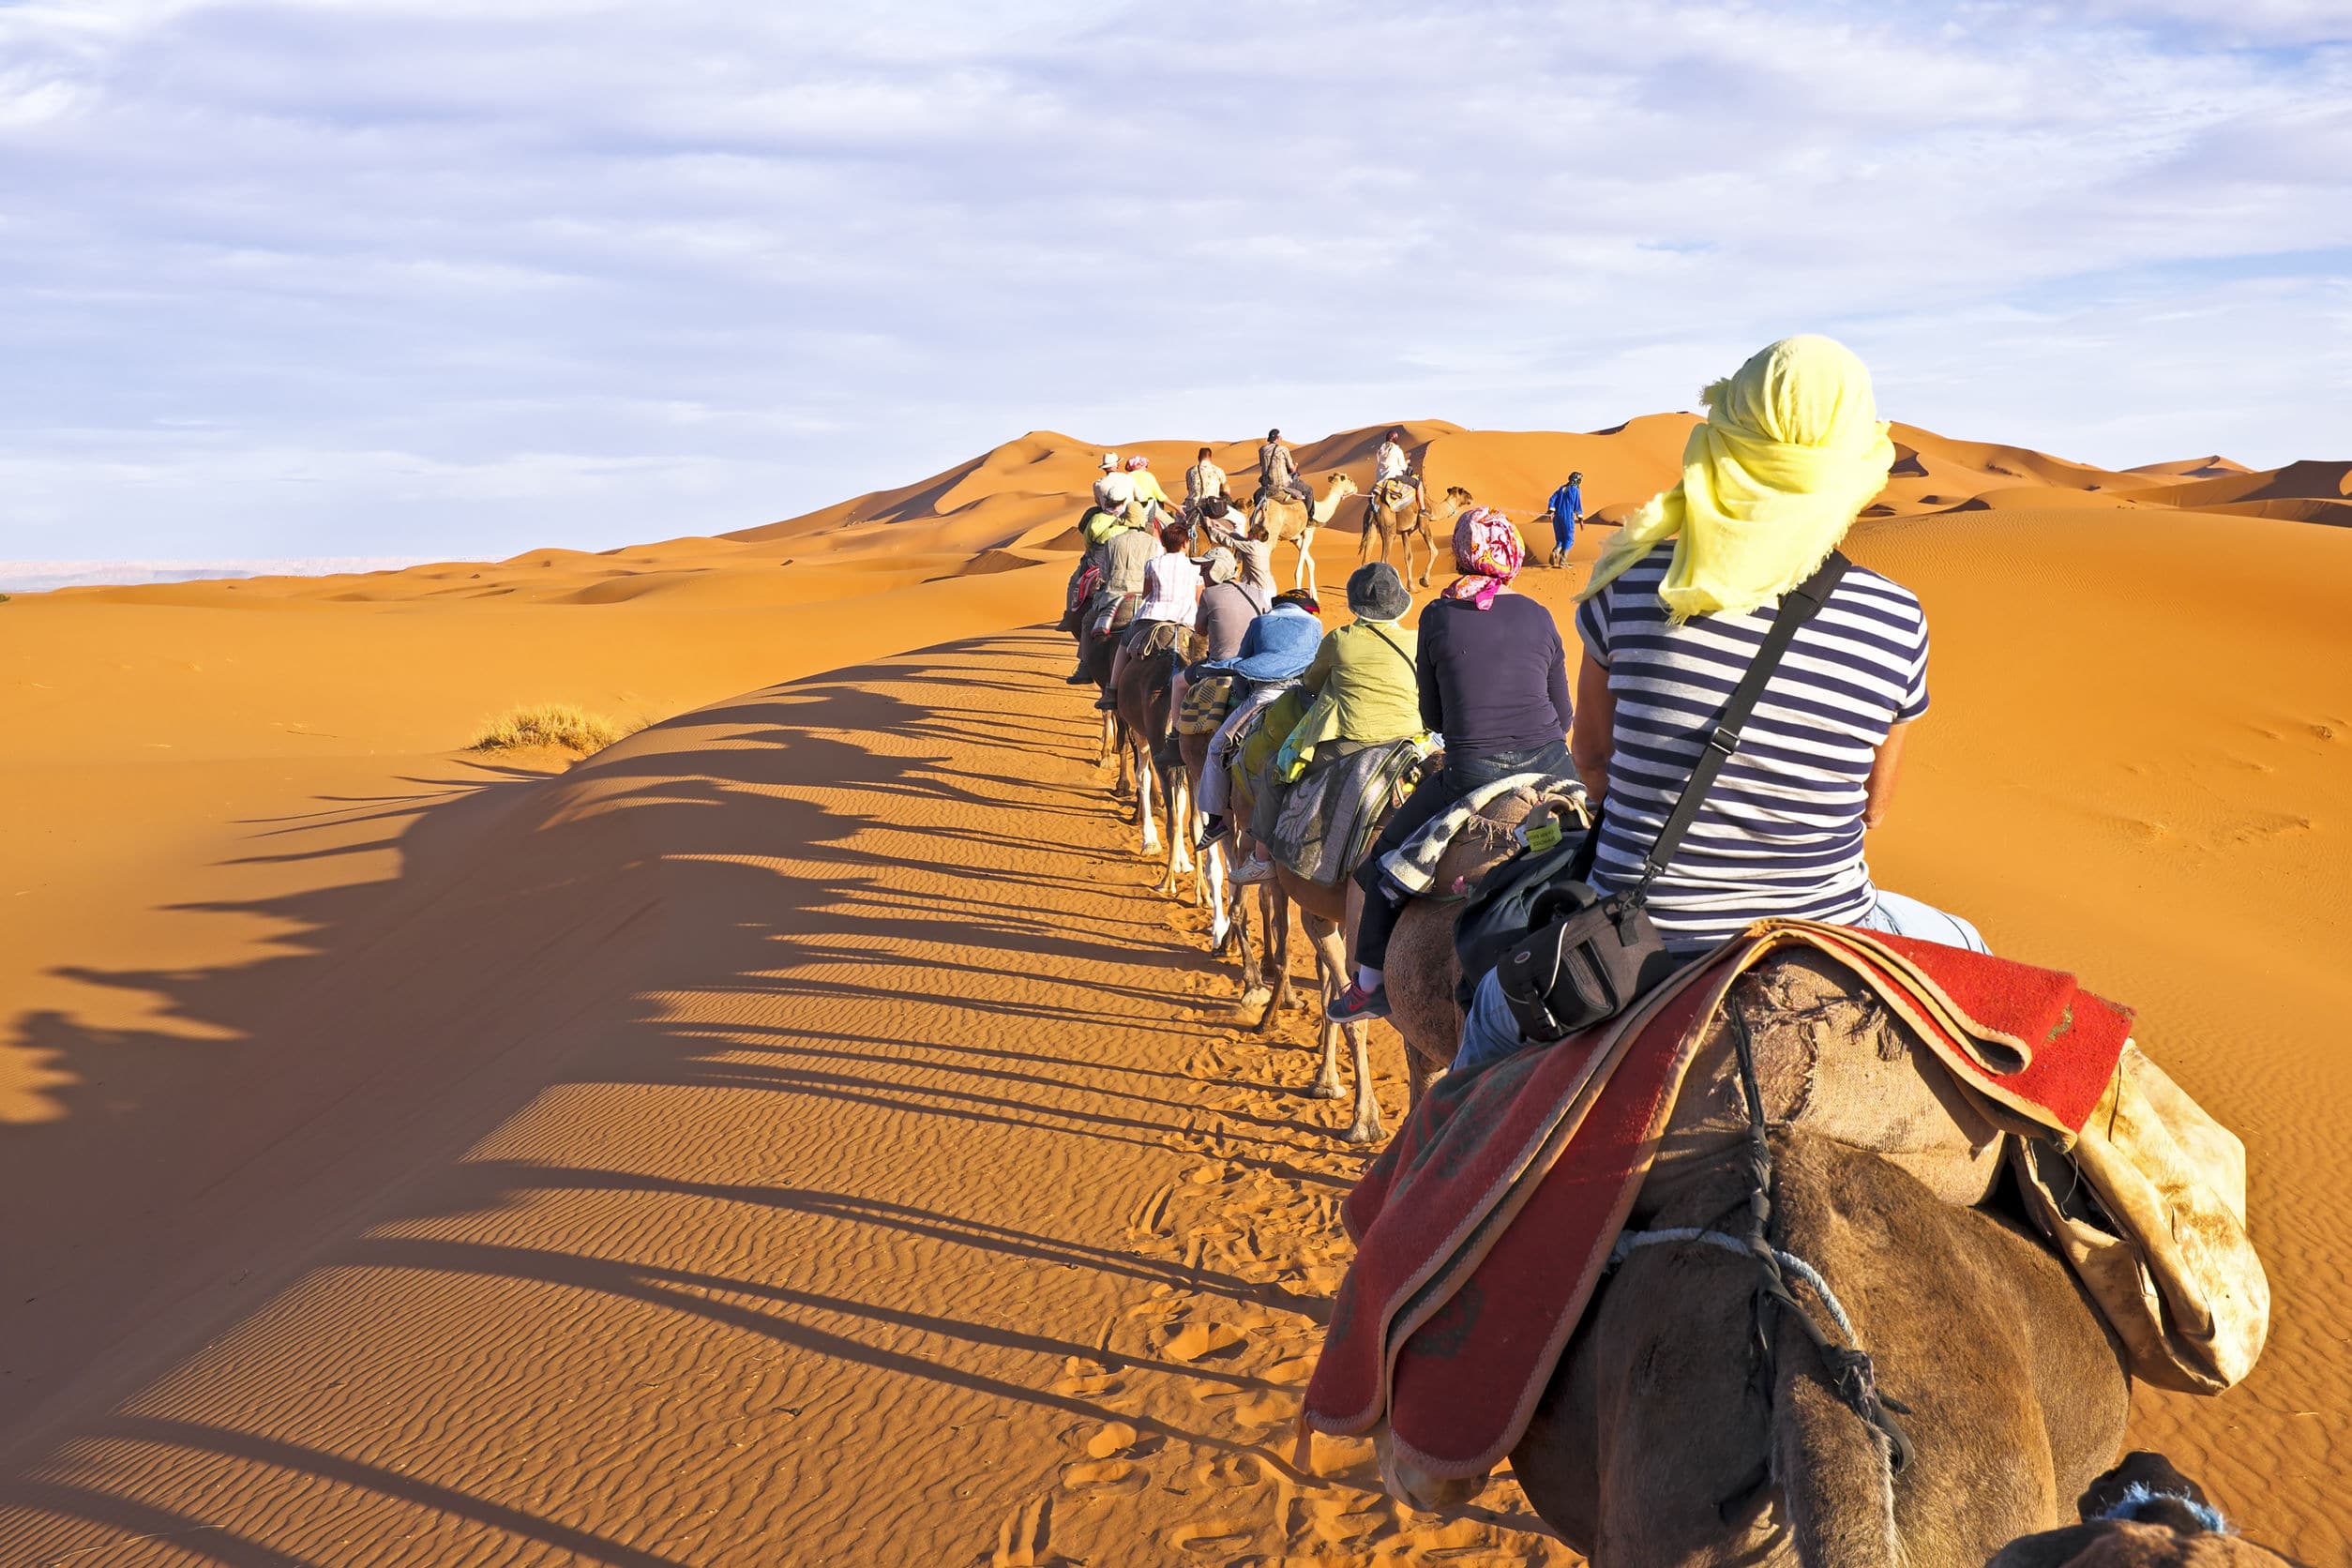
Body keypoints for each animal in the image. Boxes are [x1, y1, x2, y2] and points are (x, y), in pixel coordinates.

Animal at [1251, 472, 1364, 601]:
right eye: (1350, 480)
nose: (1356, 487)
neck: (1319, 511)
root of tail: (1262, 507)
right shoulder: (1308, 534)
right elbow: (1298, 572)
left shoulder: (1296, 539)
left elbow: (1311, 563)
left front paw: (1315, 597)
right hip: (1270, 536)